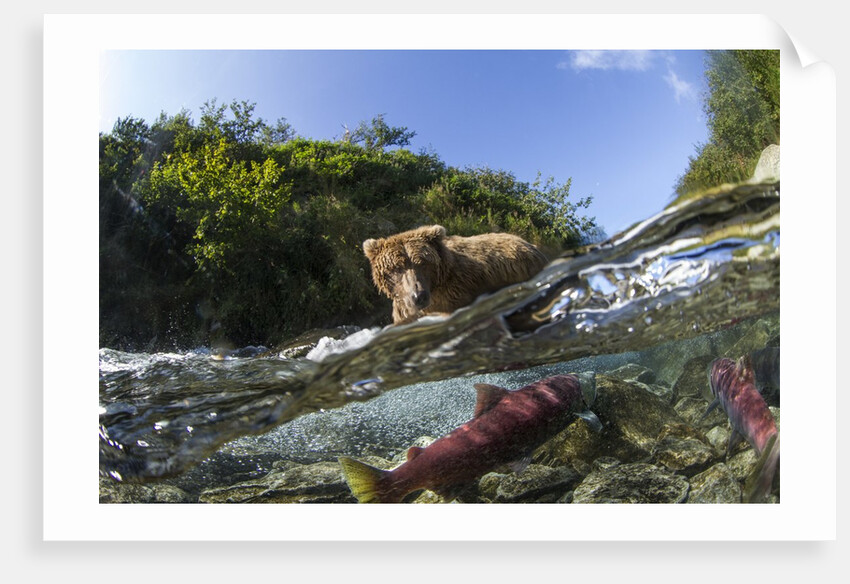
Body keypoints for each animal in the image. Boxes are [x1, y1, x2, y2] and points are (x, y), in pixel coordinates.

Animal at [362, 225, 549, 324]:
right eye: (396, 268)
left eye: (423, 263)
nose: (419, 296)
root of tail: (529, 244)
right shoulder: (404, 308)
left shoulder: (456, 293)